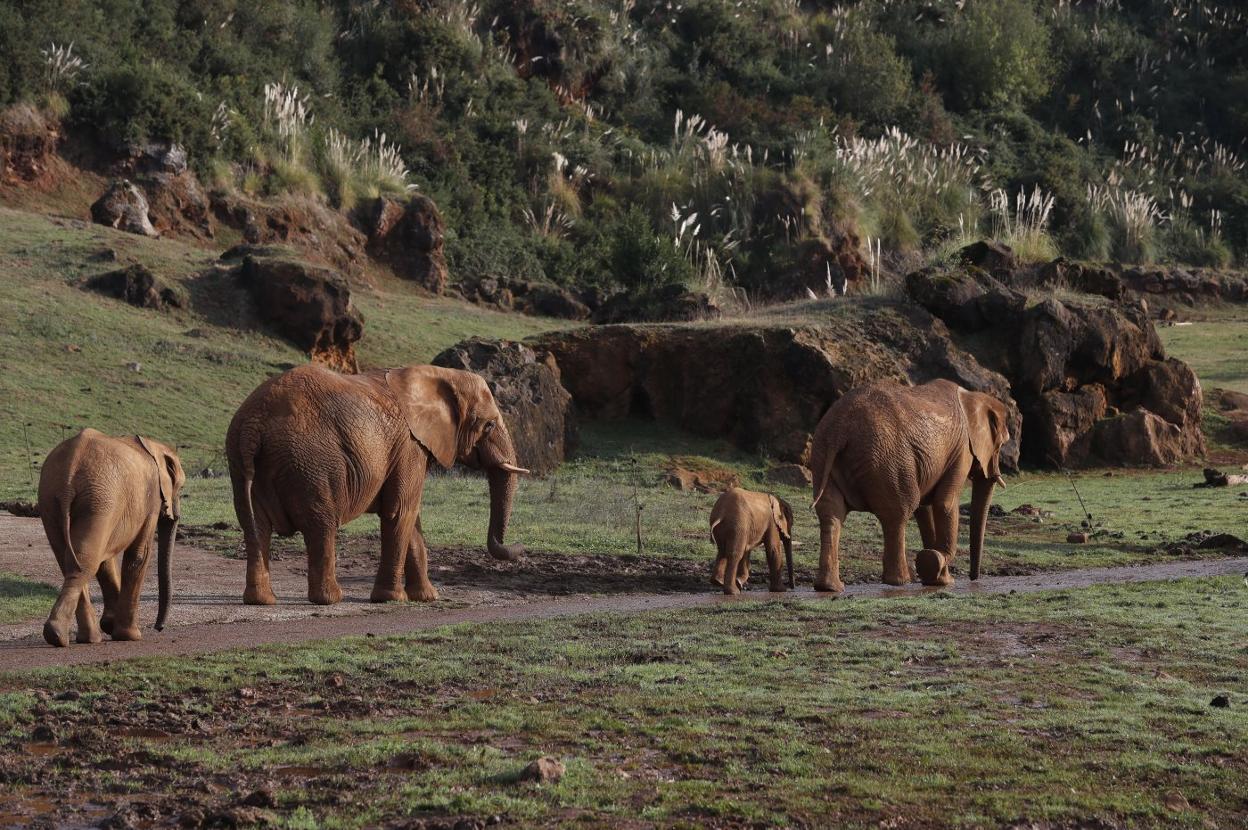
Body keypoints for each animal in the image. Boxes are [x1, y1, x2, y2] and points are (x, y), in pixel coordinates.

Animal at [37, 426, 183, 649]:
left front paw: (110, 625)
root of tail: (68, 474)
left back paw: (76, 637)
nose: (159, 628)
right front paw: (129, 636)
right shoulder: (150, 501)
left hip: (54, 500)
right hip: (100, 500)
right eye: (181, 488)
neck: (153, 445)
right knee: (85, 562)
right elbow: (139, 554)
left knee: (72, 561)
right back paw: (65, 636)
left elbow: (106, 561)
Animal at [227, 361, 529, 601]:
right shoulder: (410, 446)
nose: (520, 546)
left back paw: (262, 601)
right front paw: (392, 599)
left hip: (242, 462)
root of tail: (255, 422)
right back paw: (331, 599)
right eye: (489, 425)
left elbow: (412, 518)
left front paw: (427, 598)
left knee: (255, 526)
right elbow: (401, 511)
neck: (439, 374)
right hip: (311, 462)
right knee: (321, 524)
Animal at [803, 379, 1008, 591]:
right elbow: (944, 503)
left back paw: (829, 587)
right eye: (1001, 444)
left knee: (831, 512)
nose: (973, 578)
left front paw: (936, 578)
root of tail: (839, 428)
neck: (972, 396)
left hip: (822, 453)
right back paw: (900, 581)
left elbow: (925, 509)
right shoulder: (961, 451)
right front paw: (941, 573)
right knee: (898, 512)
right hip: (888, 459)